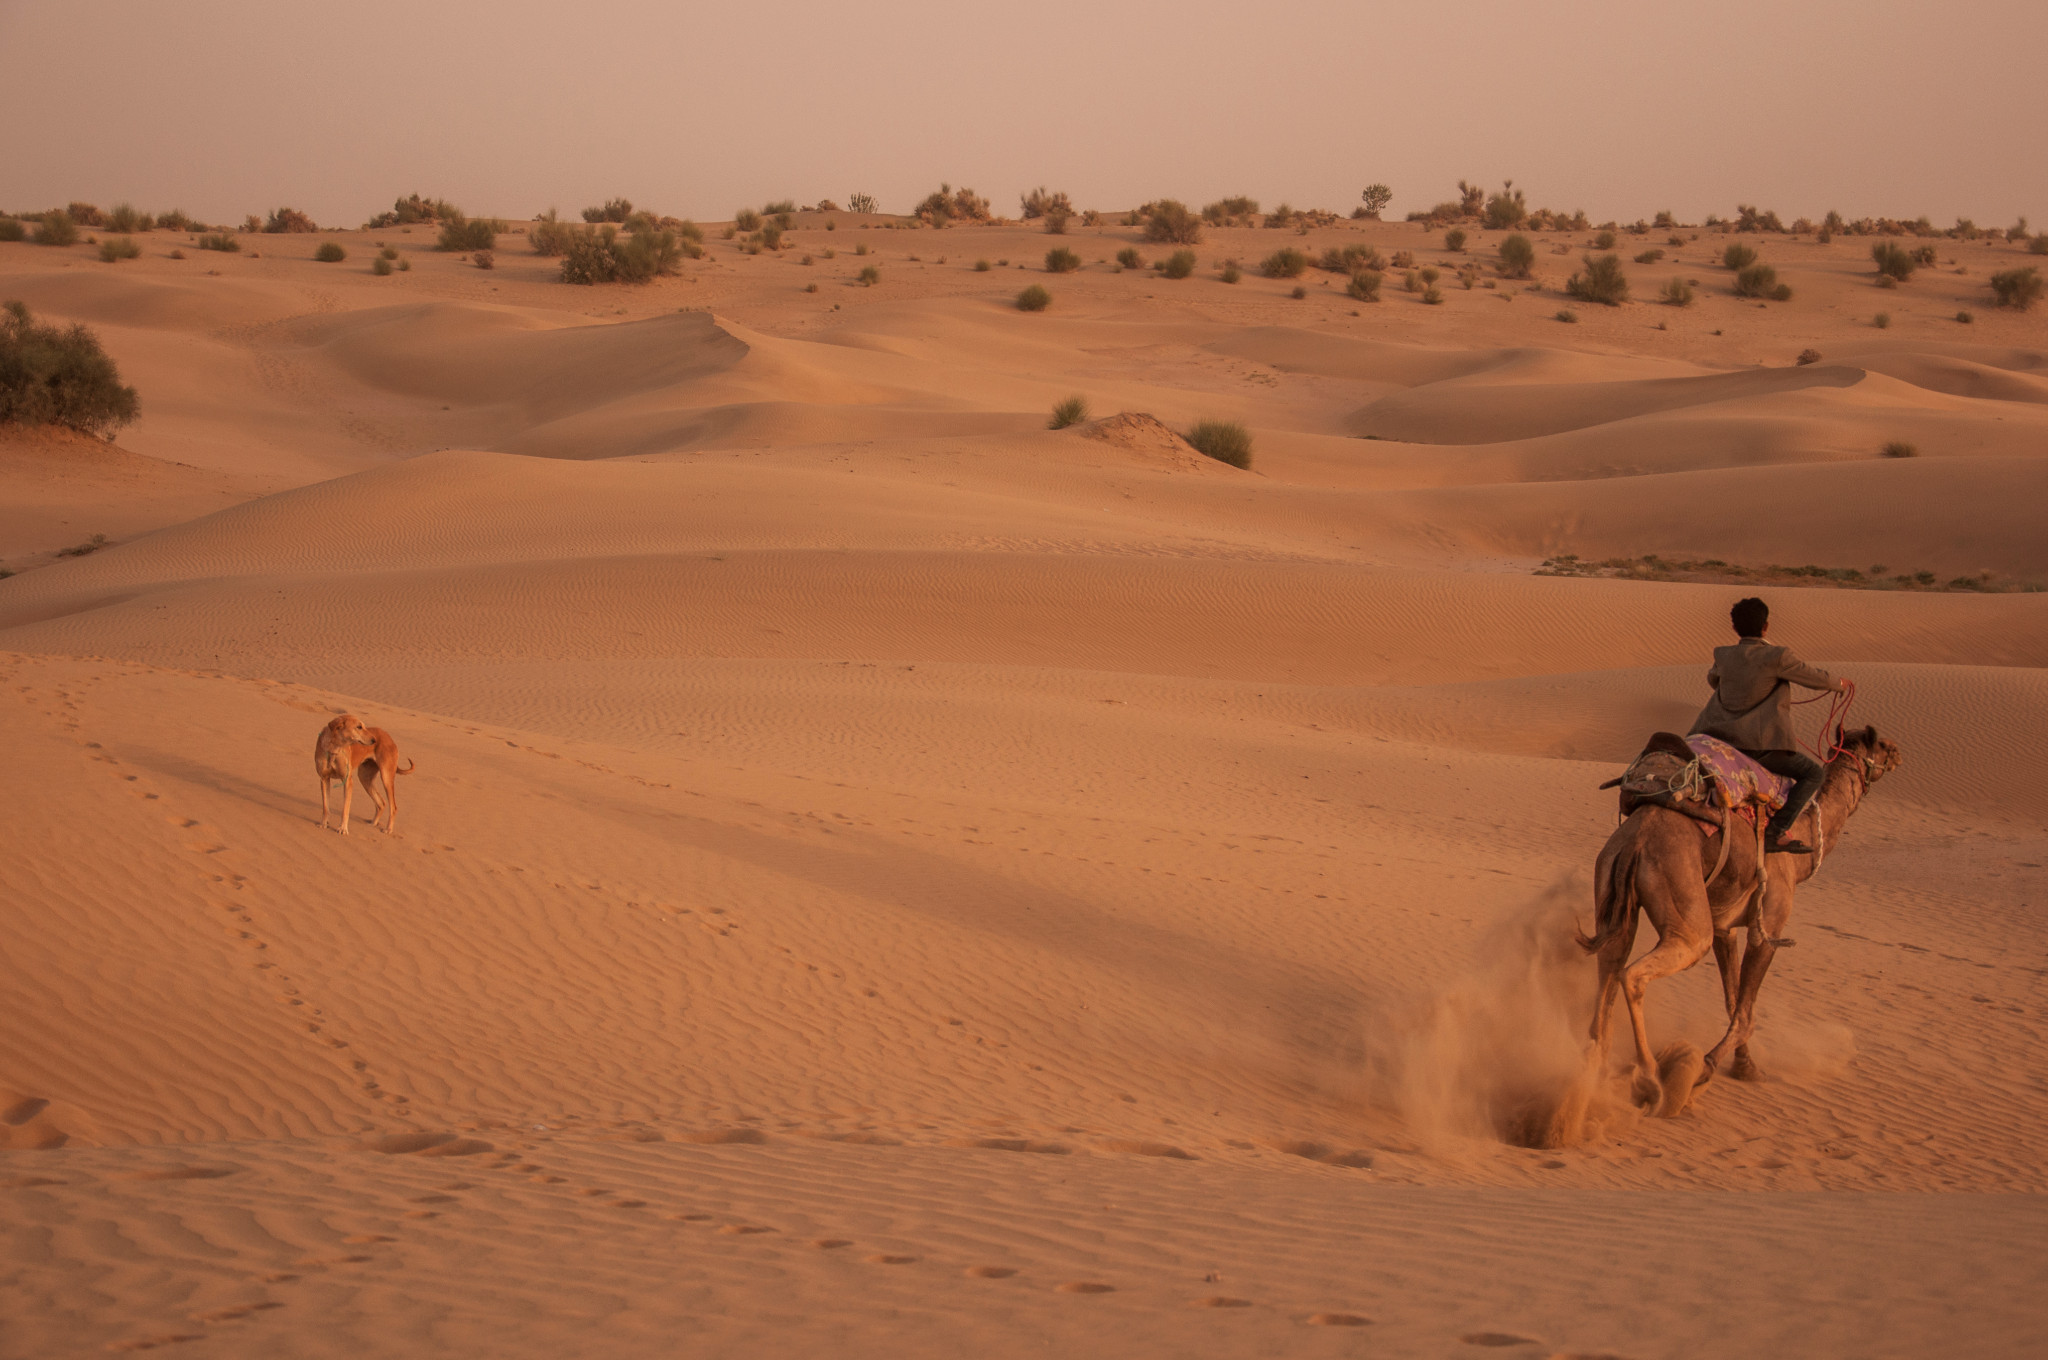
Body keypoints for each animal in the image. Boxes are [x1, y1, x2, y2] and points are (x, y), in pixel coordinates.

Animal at [1581, 720, 1900, 1114]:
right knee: (1634, 975)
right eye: (1882, 744)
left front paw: (1746, 1067)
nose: (1899, 754)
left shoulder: (1724, 928)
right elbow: (1747, 1013)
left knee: (1609, 965)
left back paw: (1595, 1069)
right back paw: (1651, 1077)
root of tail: (1636, 843)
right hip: (1685, 911)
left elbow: (1734, 1000)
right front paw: (1706, 1067)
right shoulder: (1769, 924)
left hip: (1612, 884)